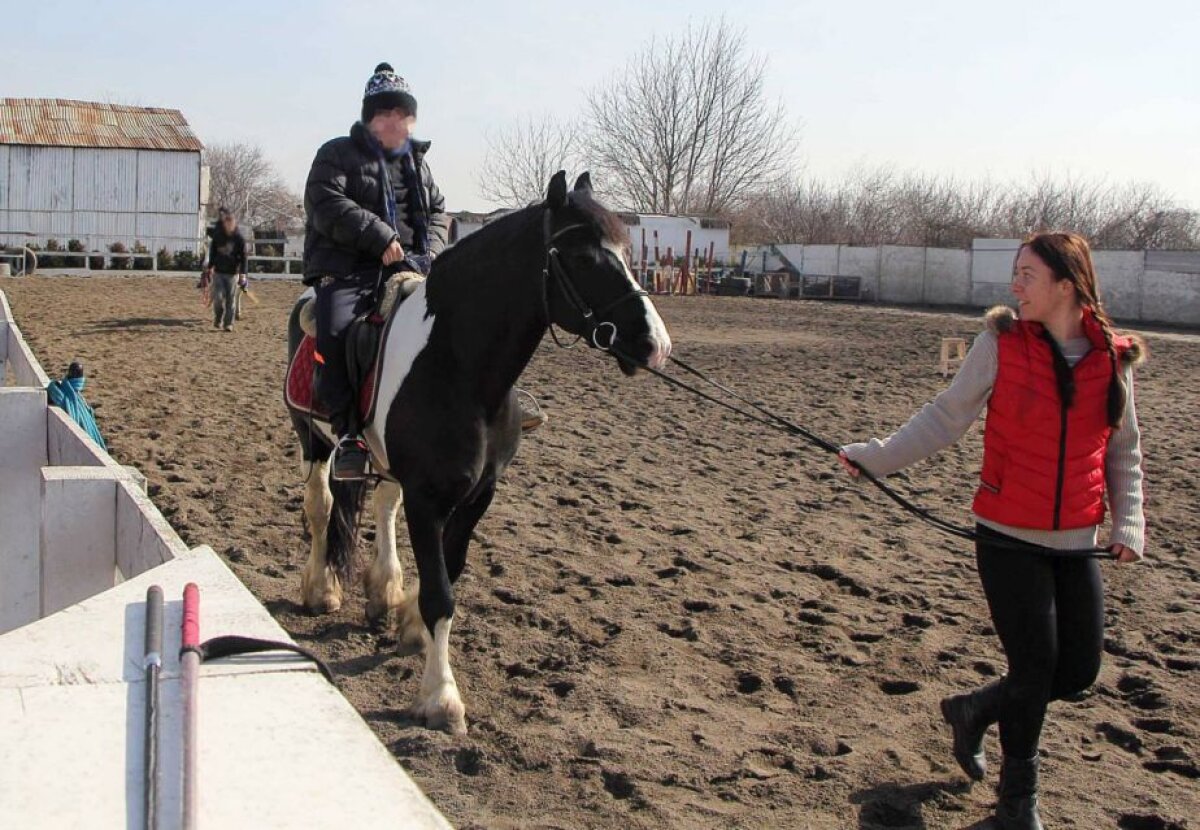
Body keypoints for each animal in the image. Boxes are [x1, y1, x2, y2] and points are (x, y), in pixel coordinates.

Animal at [286, 171, 672, 733]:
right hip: (312, 438)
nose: (656, 346)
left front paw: (408, 624)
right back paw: (321, 589)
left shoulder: (479, 494)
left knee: (380, 504)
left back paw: (383, 589)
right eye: (583, 257)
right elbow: (440, 594)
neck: (457, 365)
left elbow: (449, 571)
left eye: (626, 251)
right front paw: (441, 697)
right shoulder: (428, 499)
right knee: (321, 507)